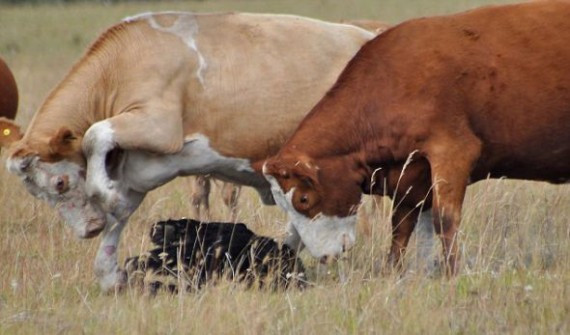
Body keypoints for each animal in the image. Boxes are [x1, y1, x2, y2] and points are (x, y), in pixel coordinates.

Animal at [6, 12, 374, 292]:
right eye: (37, 193)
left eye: (60, 183)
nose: (88, 230)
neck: (122, 67)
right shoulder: (136, 171)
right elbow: (118, 219)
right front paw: (112, 276)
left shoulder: (160, 127)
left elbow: (95, 135)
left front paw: (105, 197)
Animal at [262, 1, 568, 276]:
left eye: (303, 199)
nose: (324, 256)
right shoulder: (410, 176)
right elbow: (400, 227)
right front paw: (391, 272)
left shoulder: (452, 152)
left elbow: (444, 219)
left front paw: (453, 272)